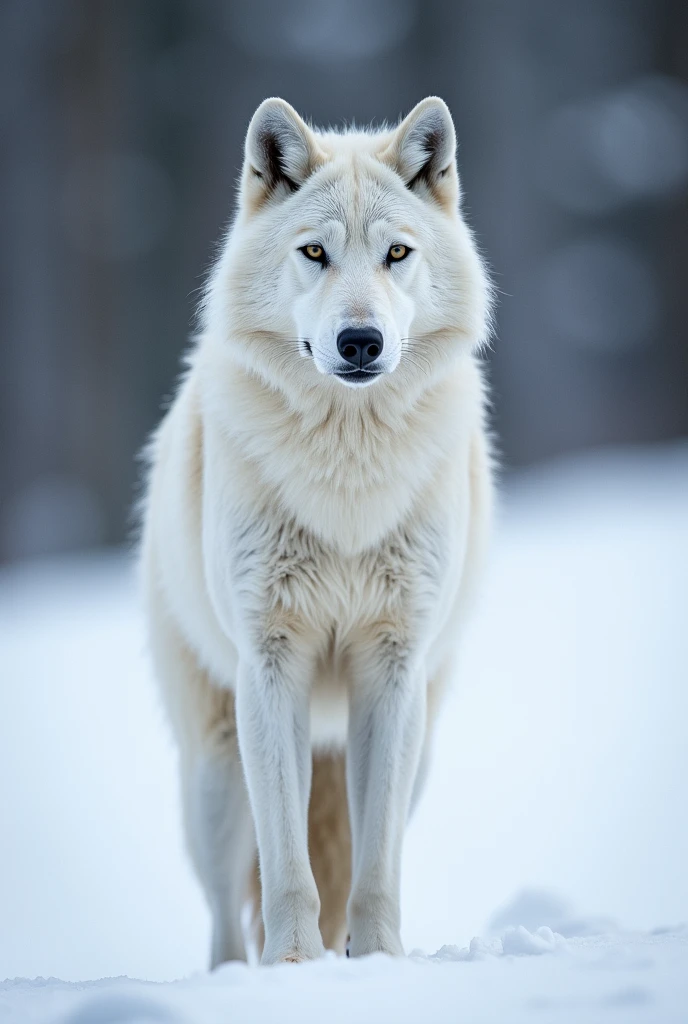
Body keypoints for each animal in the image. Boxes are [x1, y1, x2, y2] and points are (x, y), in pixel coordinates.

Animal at [139, 96, 491, 966]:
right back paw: (239, 973)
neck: (347, 477)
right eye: (315, 253)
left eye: (396, 253)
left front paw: (376, 961)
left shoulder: (392, 672)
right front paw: (292, 967)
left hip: (417, 740)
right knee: (224, 914)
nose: (360, 341)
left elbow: (373, 863)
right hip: (214, 776)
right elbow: (286, 865)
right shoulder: (271, 667)